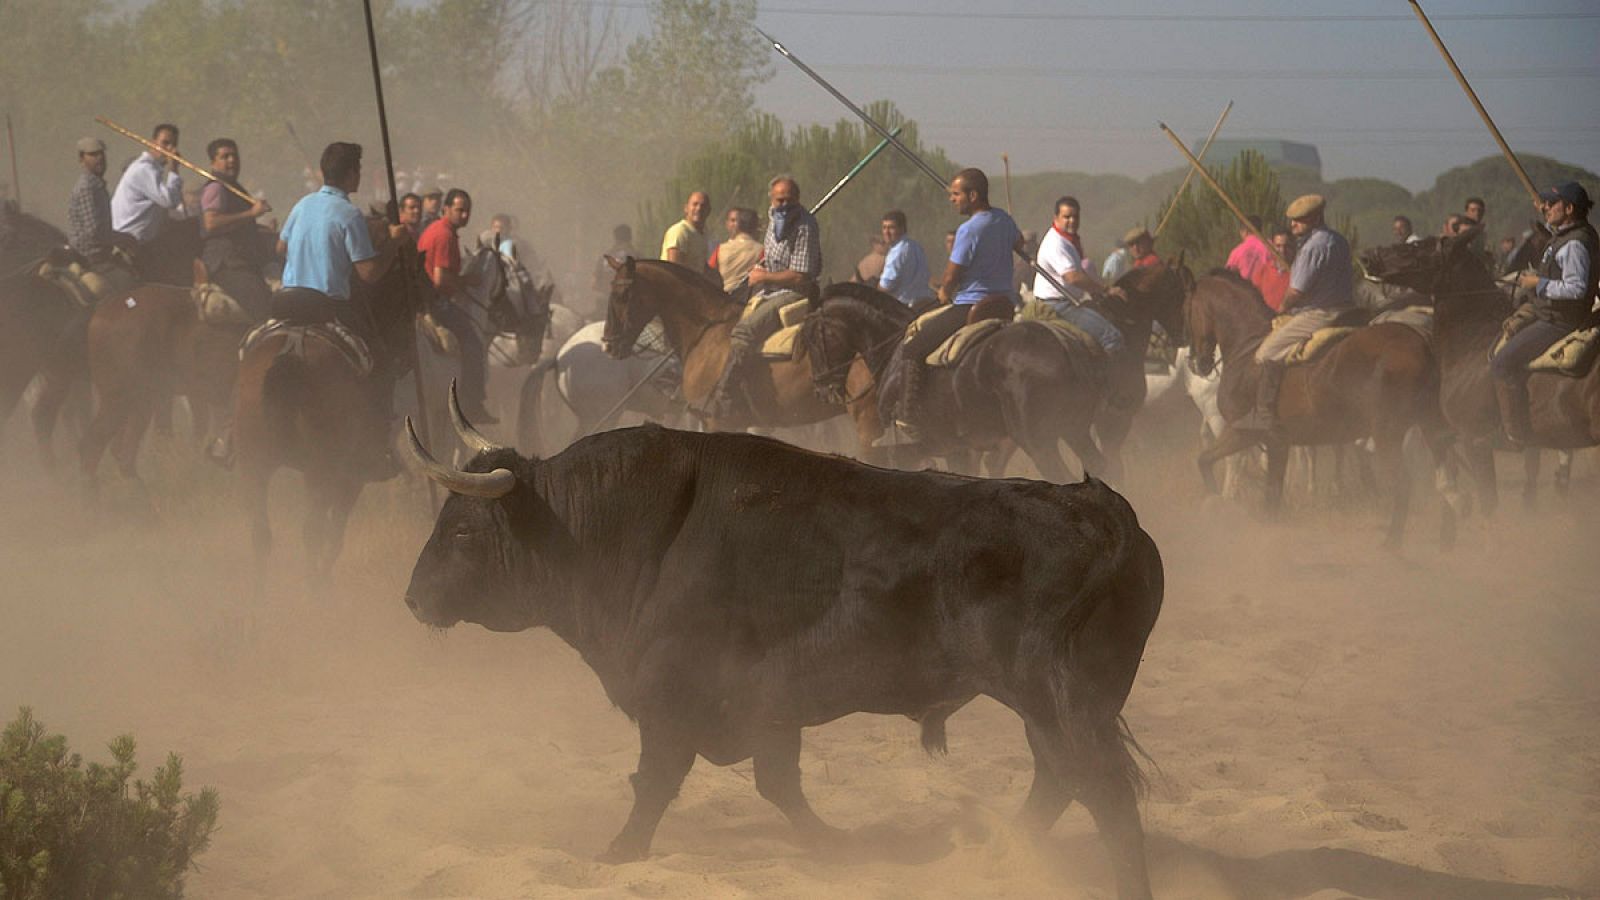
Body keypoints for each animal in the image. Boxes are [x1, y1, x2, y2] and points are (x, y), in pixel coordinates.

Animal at [233, 220, 422, 576]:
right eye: (407, 279)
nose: (406, 356)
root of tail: (292, 349)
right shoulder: (350, 476)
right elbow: (334, 537)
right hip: (319, 467)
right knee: (312, 531)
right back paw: (315, 585)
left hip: (256, 464)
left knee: (260, 534)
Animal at [403, 419, 1164, 896]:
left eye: (463, 530)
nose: (412, 598)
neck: (629, 531)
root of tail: (1104, 512)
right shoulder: (767, 711)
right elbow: (780, 785)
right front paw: (837, 848)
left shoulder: (672, 704)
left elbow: (655, 783)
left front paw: (618, 851)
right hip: (1061, 708)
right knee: (1059, 781)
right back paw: (997, 853)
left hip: (1054, 701)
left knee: (1100, 791)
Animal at [1184, 265, 1459, 547]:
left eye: (1187, 309)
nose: (1196, 363)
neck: (1247, 350)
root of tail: (1422, 341)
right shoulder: (1266, 440)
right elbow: (1207, 461)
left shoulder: (1252, 434)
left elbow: (1266, 494)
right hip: (1429, 424)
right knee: (1449, 477)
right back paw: (1448, 537)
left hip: (1388, 433)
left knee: (1405, 483)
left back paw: (1392, 544)